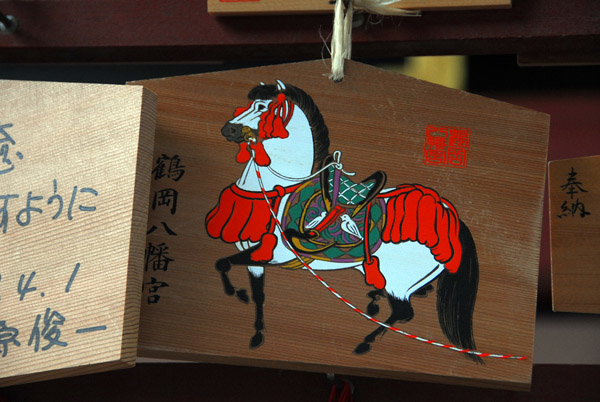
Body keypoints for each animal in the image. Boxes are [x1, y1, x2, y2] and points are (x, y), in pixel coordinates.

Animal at [204, 79, 480, 362]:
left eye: (261, 107)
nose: (228, 128)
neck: (275, 194)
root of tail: (448, 217)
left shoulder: (275, 255)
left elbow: (224, 264)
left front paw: (237, 293)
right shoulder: (256, 255)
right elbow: (252, 288)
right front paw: (255, 327)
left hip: (399, 282)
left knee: (403, 312)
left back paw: (365, 342)